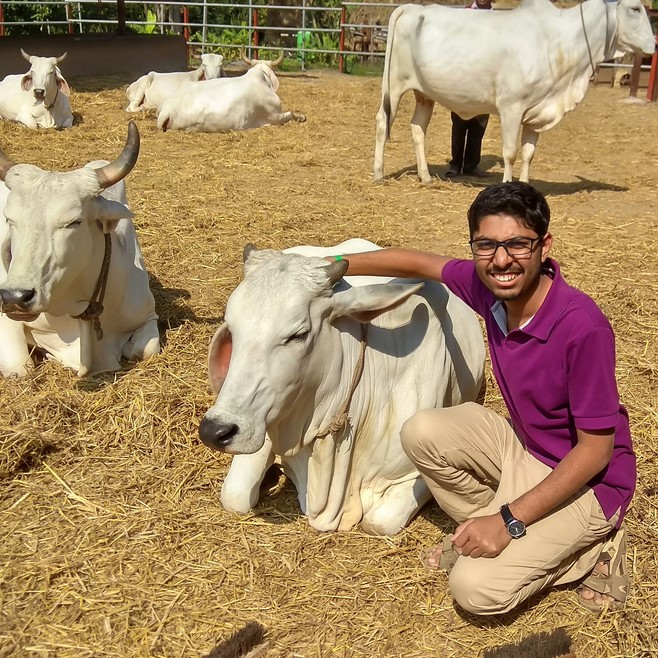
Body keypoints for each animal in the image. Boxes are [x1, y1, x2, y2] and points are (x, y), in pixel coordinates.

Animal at [0, 121, 160, 376]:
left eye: (73, 222)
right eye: (9, 219)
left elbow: (143, 350)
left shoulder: (148, 315)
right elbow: (19, 367)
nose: (15, 297)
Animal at [374, 0, 656, 182]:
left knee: (418, 128)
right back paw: (378, 173)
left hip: (424, 94)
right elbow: (510, 153)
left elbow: (528, 154)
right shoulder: (511, 107)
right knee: (382, 122)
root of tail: (413, 8)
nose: (654, 45)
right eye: (635, 8)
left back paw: (425, 176)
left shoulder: (537, 111)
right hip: (394, 86)